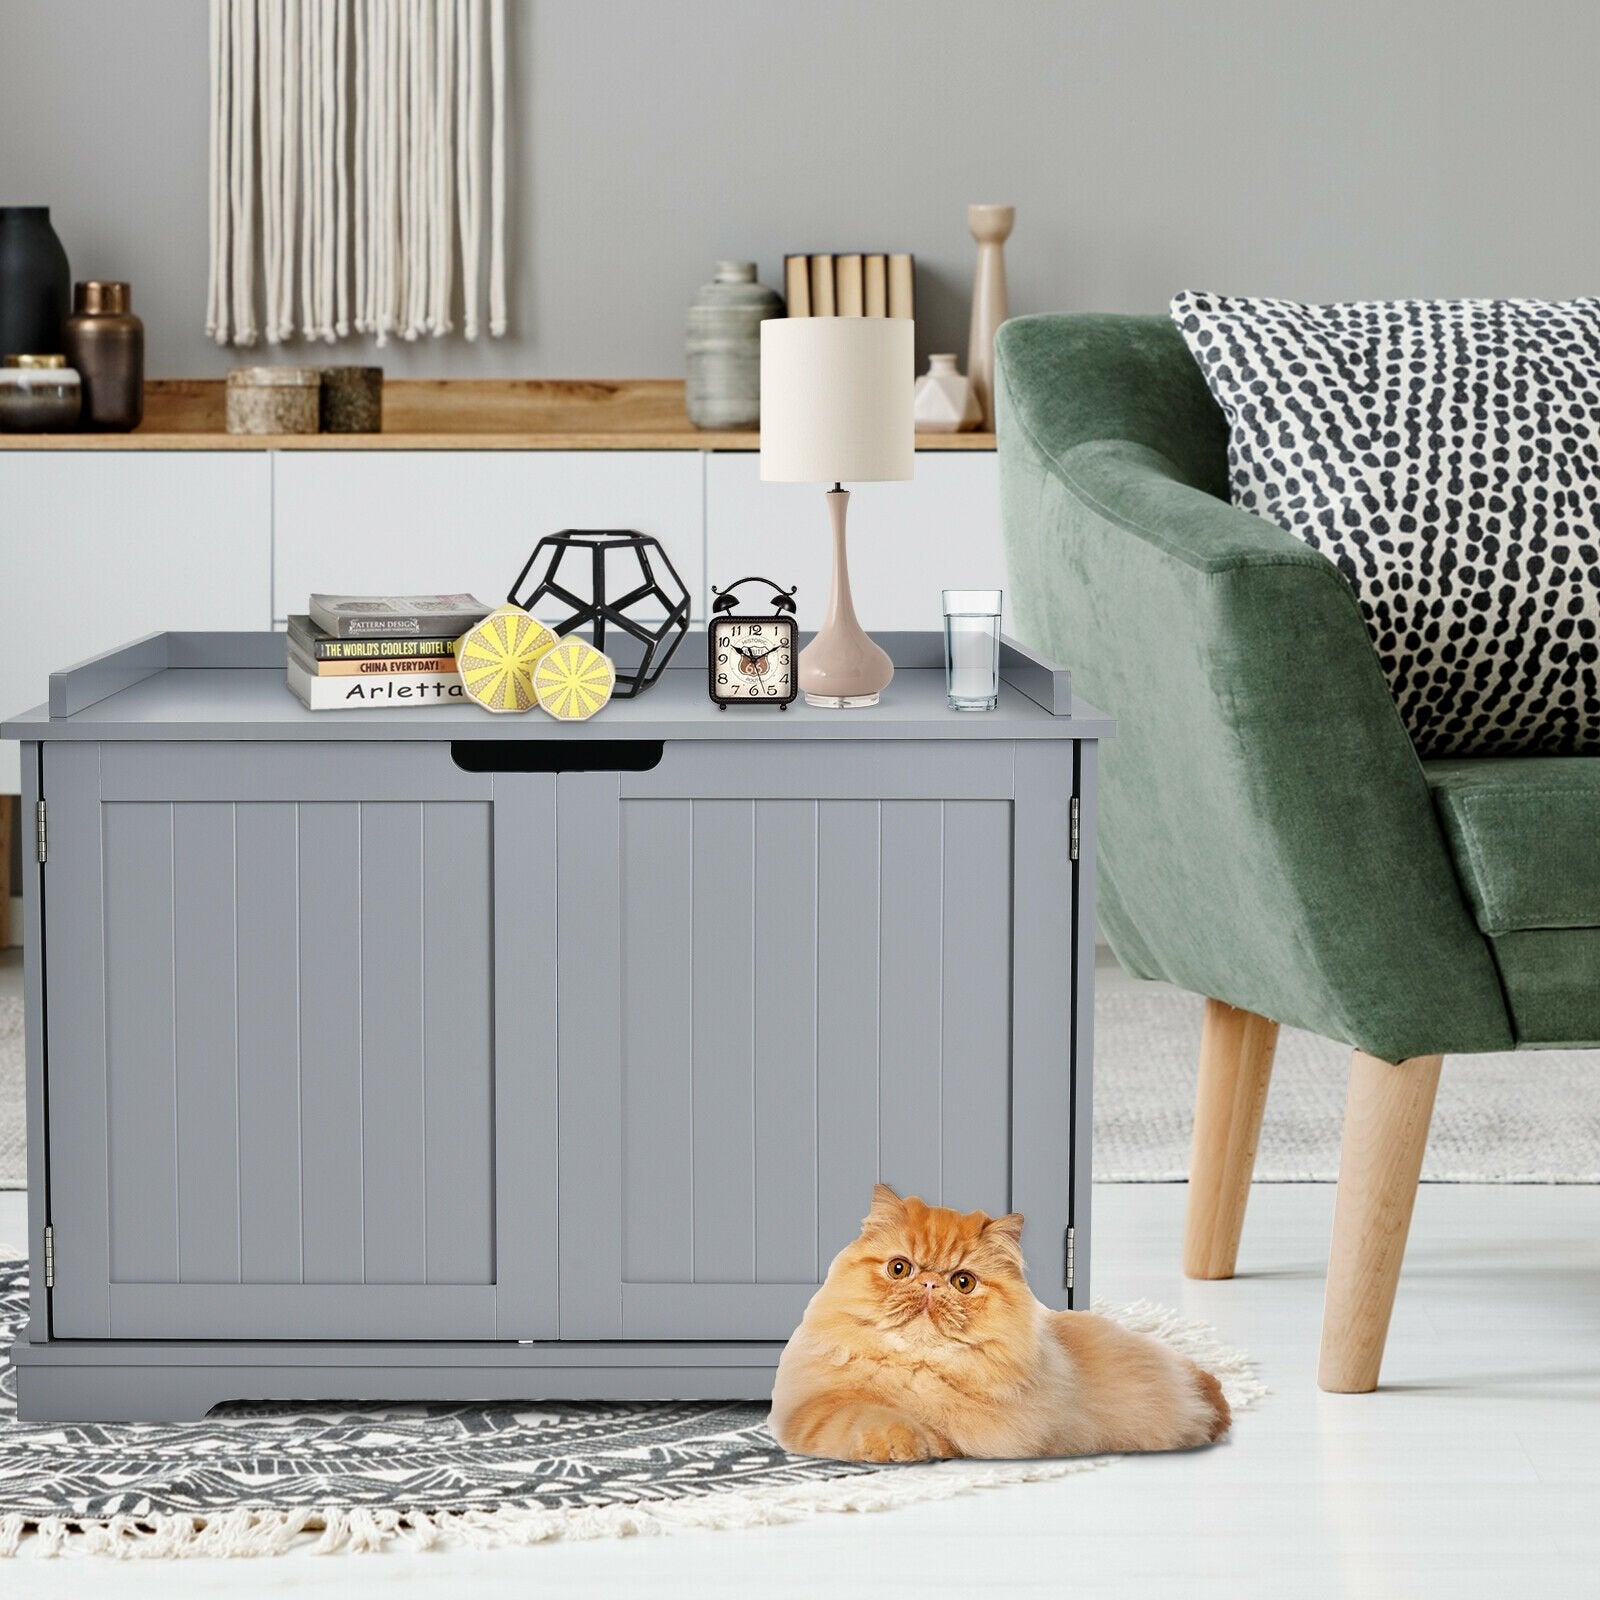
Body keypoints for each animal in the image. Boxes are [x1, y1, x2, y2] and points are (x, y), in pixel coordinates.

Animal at [768, 1190, 1228, 1465]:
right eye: (900, 1269)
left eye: (963, 1282)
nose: (930, 1283)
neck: (916, 1369)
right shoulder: (816, 1407)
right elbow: (867, 1413)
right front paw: (901, 1443)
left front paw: (919, 1444)